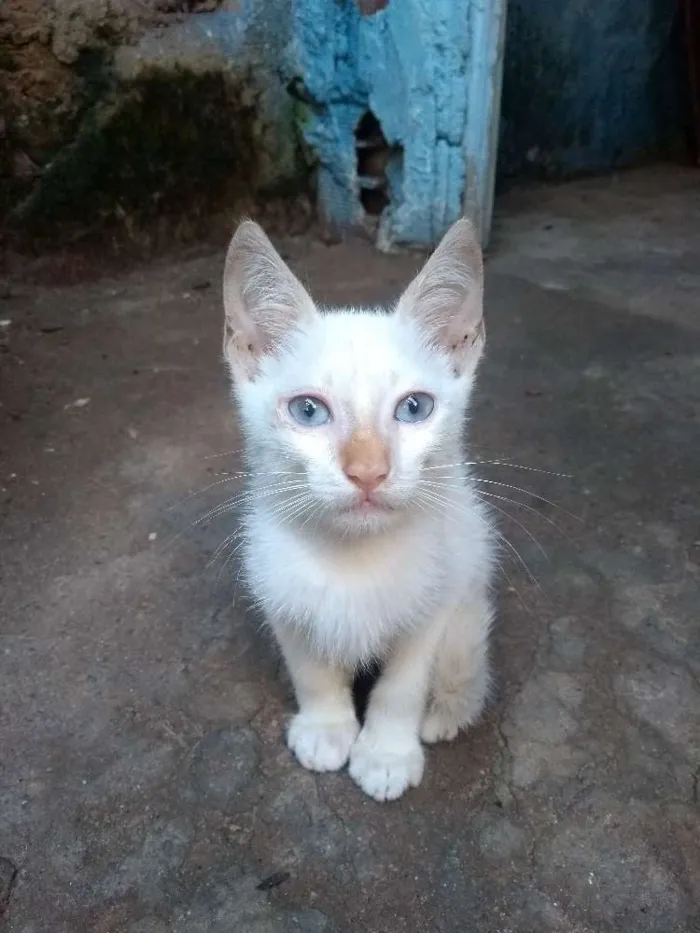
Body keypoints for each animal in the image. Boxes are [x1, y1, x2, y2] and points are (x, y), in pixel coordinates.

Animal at [223, 218, 492, 800]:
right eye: (308, 411)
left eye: (414, 408)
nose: (368, 471)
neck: (354, 557)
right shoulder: (278, 590)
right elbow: (310, 668)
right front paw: (326, 728)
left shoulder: (437, 600)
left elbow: (402, 683)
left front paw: (386, 753)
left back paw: (447, 714)